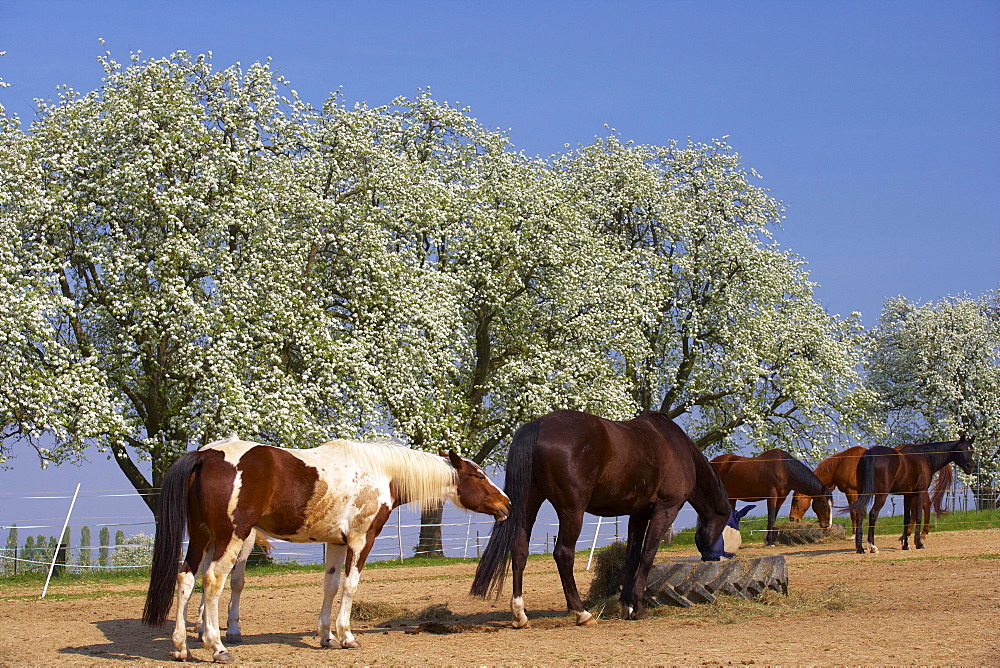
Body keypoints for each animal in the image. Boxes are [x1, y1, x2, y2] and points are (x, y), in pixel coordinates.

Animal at [145, 436, 512, 660]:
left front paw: (327, 637)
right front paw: (347, 636)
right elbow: (350, 586)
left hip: (201, 537)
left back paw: (181, 647)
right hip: (230, 538)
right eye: (479, 476)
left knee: (186, 579)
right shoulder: (362, 540)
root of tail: (205, 456)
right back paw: (217, 647)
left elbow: (331, 585)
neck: (380, 472)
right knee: (212, 583)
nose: (507, 504)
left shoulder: (336, 542)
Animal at [464, 410, 732, 628]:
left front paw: (627, 606)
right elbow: (647, 556)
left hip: (527, 505)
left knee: (520, 551)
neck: (676, 447)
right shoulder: (665, 511)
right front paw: (639, 608)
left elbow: (632, 557)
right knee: (563, 554)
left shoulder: (638, 514)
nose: (712, 557)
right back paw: (581, 613)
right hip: (572, 511)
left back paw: (520, 615)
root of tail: (538, 425)